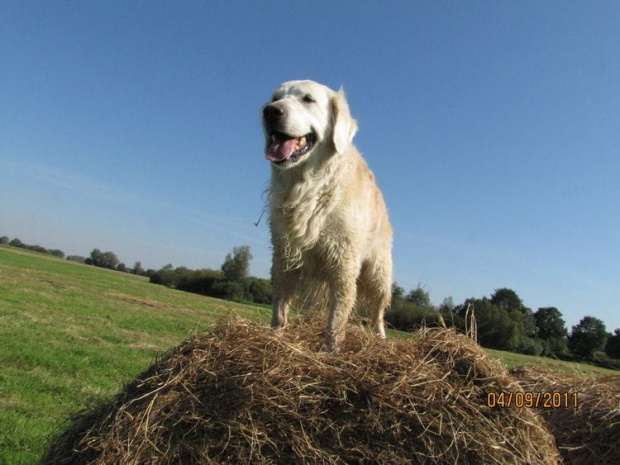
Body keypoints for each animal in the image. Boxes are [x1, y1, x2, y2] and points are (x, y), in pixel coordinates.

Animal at [262, 80, 392, 352]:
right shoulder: (283, 256)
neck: (310, 185)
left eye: (308, 99)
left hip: (379, 272)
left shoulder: (344, 263)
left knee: (378, 311)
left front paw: (332, 351)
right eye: (275, 98)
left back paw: (380, 338)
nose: (269, 112)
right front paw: (274, 340)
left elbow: (336, 319)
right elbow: (279, 311)